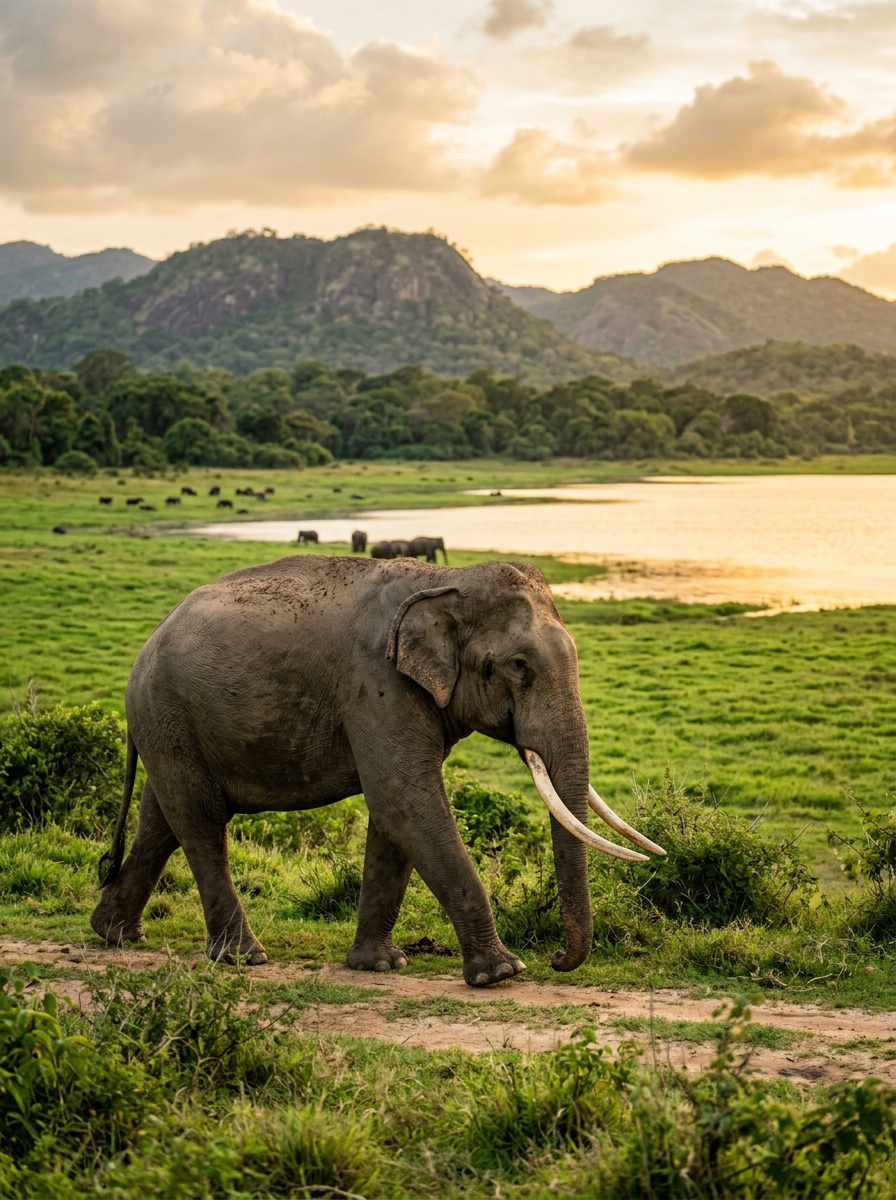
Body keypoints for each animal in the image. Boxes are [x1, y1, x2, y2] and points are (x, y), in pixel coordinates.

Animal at [91, 556, 664, 987]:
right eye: (519, 666)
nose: (557, 960)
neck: (444, 580)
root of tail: (145, 648)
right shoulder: (377, 683)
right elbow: (404, 799)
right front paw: (502, 973)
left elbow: (394, 817)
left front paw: (380, 965)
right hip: (168, 713)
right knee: (201, 821)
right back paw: (241, 957)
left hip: (171, 725)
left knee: (162, 818)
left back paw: (115, 934)